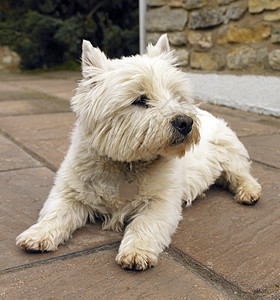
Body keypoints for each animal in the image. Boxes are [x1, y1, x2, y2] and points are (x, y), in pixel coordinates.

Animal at [16, 34, 262, 270]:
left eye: (176, 96)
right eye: (140, 100)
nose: (186, 122)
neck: (127, 164)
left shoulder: (161, 202)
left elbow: (144, 225)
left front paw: (136, 252)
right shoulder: (70, 192)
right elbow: (55, 212)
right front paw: (37, 235)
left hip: (229, 154)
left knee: (242, 175)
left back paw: (249, 192)